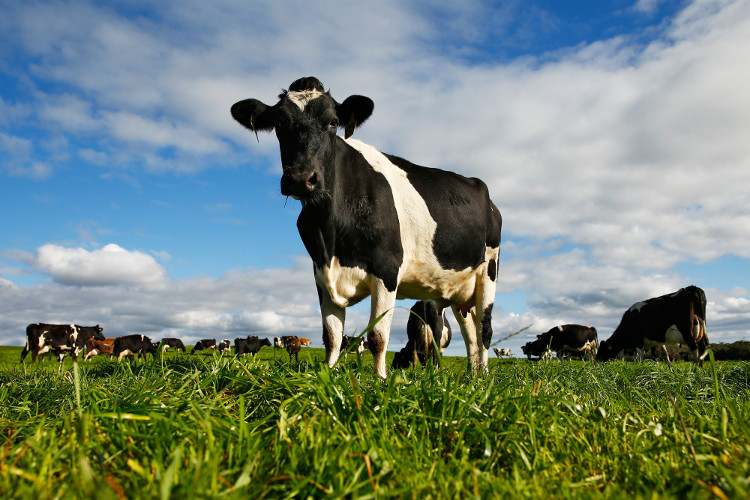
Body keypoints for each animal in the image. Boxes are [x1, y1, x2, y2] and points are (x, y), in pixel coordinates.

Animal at [231, 77, 502, 377]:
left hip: (489, 270)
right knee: (470, 334)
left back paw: (485, 377)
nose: (301, 178)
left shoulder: (387, 268)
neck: (329, 234)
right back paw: (473, 376)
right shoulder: (321, 274)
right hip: (458, 291)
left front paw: (381, 380)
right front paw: (329, 376)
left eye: (332, 122)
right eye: (279, 123)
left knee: (485, 330)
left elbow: (377, 336)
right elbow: (332, 337)